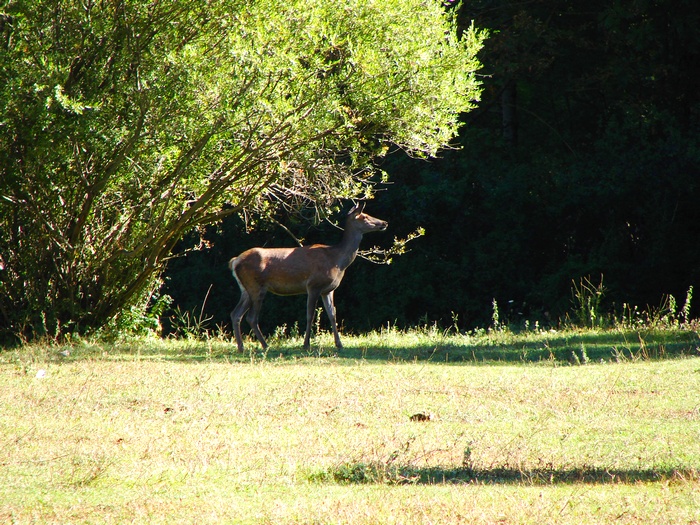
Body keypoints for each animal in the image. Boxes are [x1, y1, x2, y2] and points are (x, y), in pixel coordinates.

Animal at [228, 202, 386, 352]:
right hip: (256, 286)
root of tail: (235, 261)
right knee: (251, 317)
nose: (384, 223)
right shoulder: (313, 285)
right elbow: (310, 315)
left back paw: (241, 347)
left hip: (246, 289)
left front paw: (339, 345)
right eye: (364, 216)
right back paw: (265, 345)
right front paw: (306, 345)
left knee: (236, 314)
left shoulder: (328, 290)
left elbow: (332, 315)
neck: (337, 261)